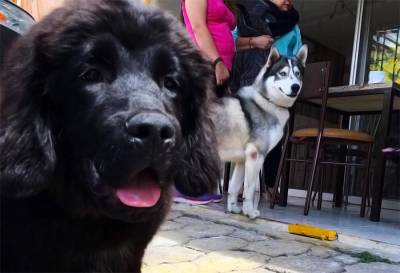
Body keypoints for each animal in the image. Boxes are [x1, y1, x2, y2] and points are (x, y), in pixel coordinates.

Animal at [211, 45, 308, 218]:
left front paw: (234, 208)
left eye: (297, 74)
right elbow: (249, 190)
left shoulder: (241, 160)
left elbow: (234, 187)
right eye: (282, 73)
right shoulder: (255, 155)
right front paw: (249, 211)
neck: (267, 101)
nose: (295, 87)